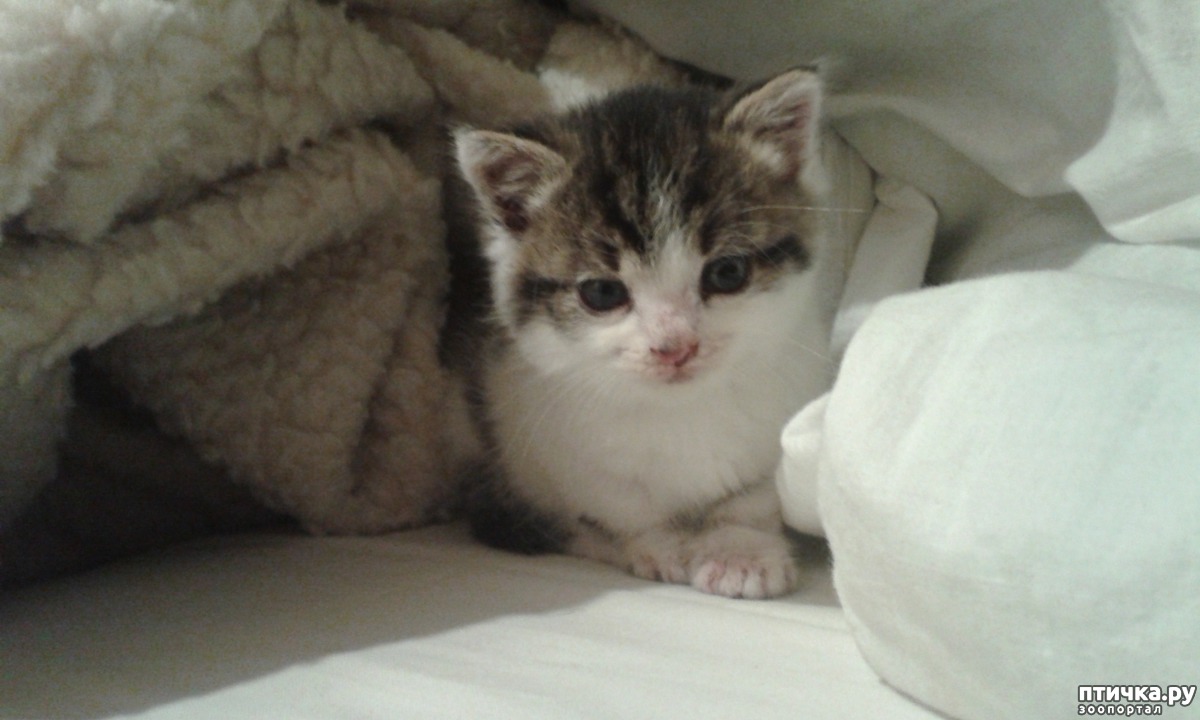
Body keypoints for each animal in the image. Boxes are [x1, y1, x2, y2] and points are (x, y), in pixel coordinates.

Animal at [452, 69, 837, 599]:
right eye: (601, 292)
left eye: (728, 273)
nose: (675, 347)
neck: (678, 409)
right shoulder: (542, 437)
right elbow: (620, 506)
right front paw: (661, 546)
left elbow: (752, 496)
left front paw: (740, 551)